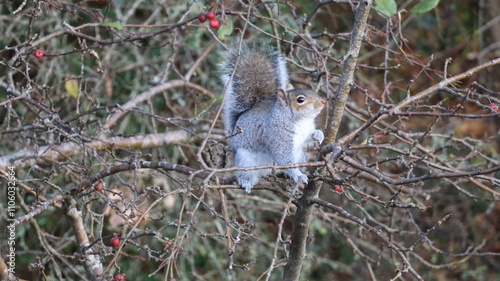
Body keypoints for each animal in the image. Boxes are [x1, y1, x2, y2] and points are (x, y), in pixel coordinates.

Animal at [219, 44, 324, 192]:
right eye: (300, 100)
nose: (323, 102)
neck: (301, 121)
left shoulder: (305, 131)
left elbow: (309, 137)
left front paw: (318, 135)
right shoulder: (278, 137)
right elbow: (284, 159)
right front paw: (298, 175)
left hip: (299, 155)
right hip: (245, 160)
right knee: (245, 172)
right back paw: (246, 181)